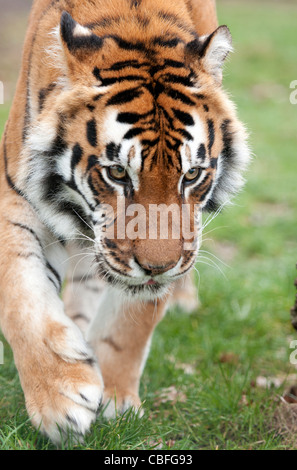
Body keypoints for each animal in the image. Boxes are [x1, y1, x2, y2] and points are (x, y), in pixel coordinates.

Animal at [0, 0, 250, 444]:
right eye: (117, 173)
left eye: (191, 175)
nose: (157, 266)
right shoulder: (18, 194)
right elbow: (21, 294)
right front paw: (61, 399)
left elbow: (130, 324)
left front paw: (116, 401)